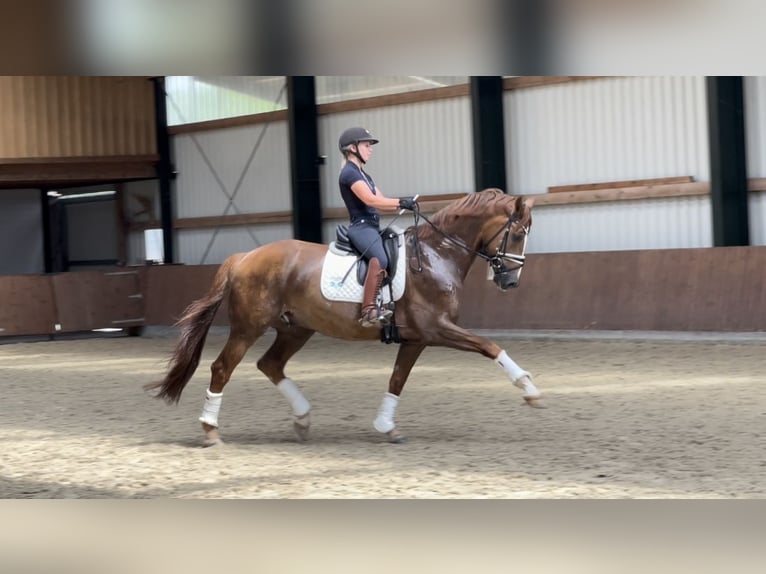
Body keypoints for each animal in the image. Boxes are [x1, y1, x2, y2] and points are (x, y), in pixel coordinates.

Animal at [142, 189, 540, 446]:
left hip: (295, 329)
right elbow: (489, 346)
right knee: (223, 368)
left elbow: (397, 380)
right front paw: (529, 389)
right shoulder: (437, 328)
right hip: (248, 327)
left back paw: (303, 419)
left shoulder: (416, 338)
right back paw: (210, 429)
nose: (511, 281)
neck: (435, 254)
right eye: (518, 234)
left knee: (270, 364)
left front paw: (386, 426)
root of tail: (243, 257)